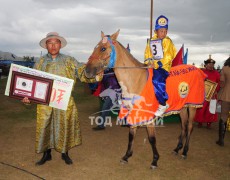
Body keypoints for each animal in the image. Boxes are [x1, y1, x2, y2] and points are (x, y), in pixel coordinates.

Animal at [84, 30, 205, 169]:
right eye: (95, 47)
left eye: (103, 48)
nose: (87, 70)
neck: (136, 80)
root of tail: (198, 71)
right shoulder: (134, 112)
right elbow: (131, 135)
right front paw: (126, 156)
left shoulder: (148, 116)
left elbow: (152, 139)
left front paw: (155, 160)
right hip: (182, 107)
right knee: (183, 126)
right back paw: (177, 149)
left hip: (192, 106)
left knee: (189, 127)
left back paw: (184, 152)